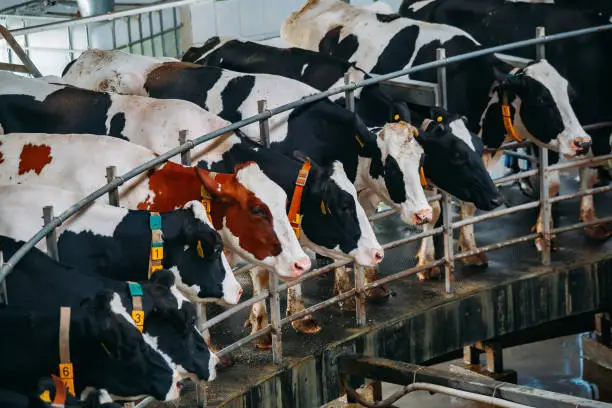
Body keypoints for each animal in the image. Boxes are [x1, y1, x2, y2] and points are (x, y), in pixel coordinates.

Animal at [284, 0, 596, 270]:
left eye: (568, 93)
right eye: (543, 99)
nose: (583, 142)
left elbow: (468, 204)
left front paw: (470, 252)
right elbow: (432, 210)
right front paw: (428, 263)